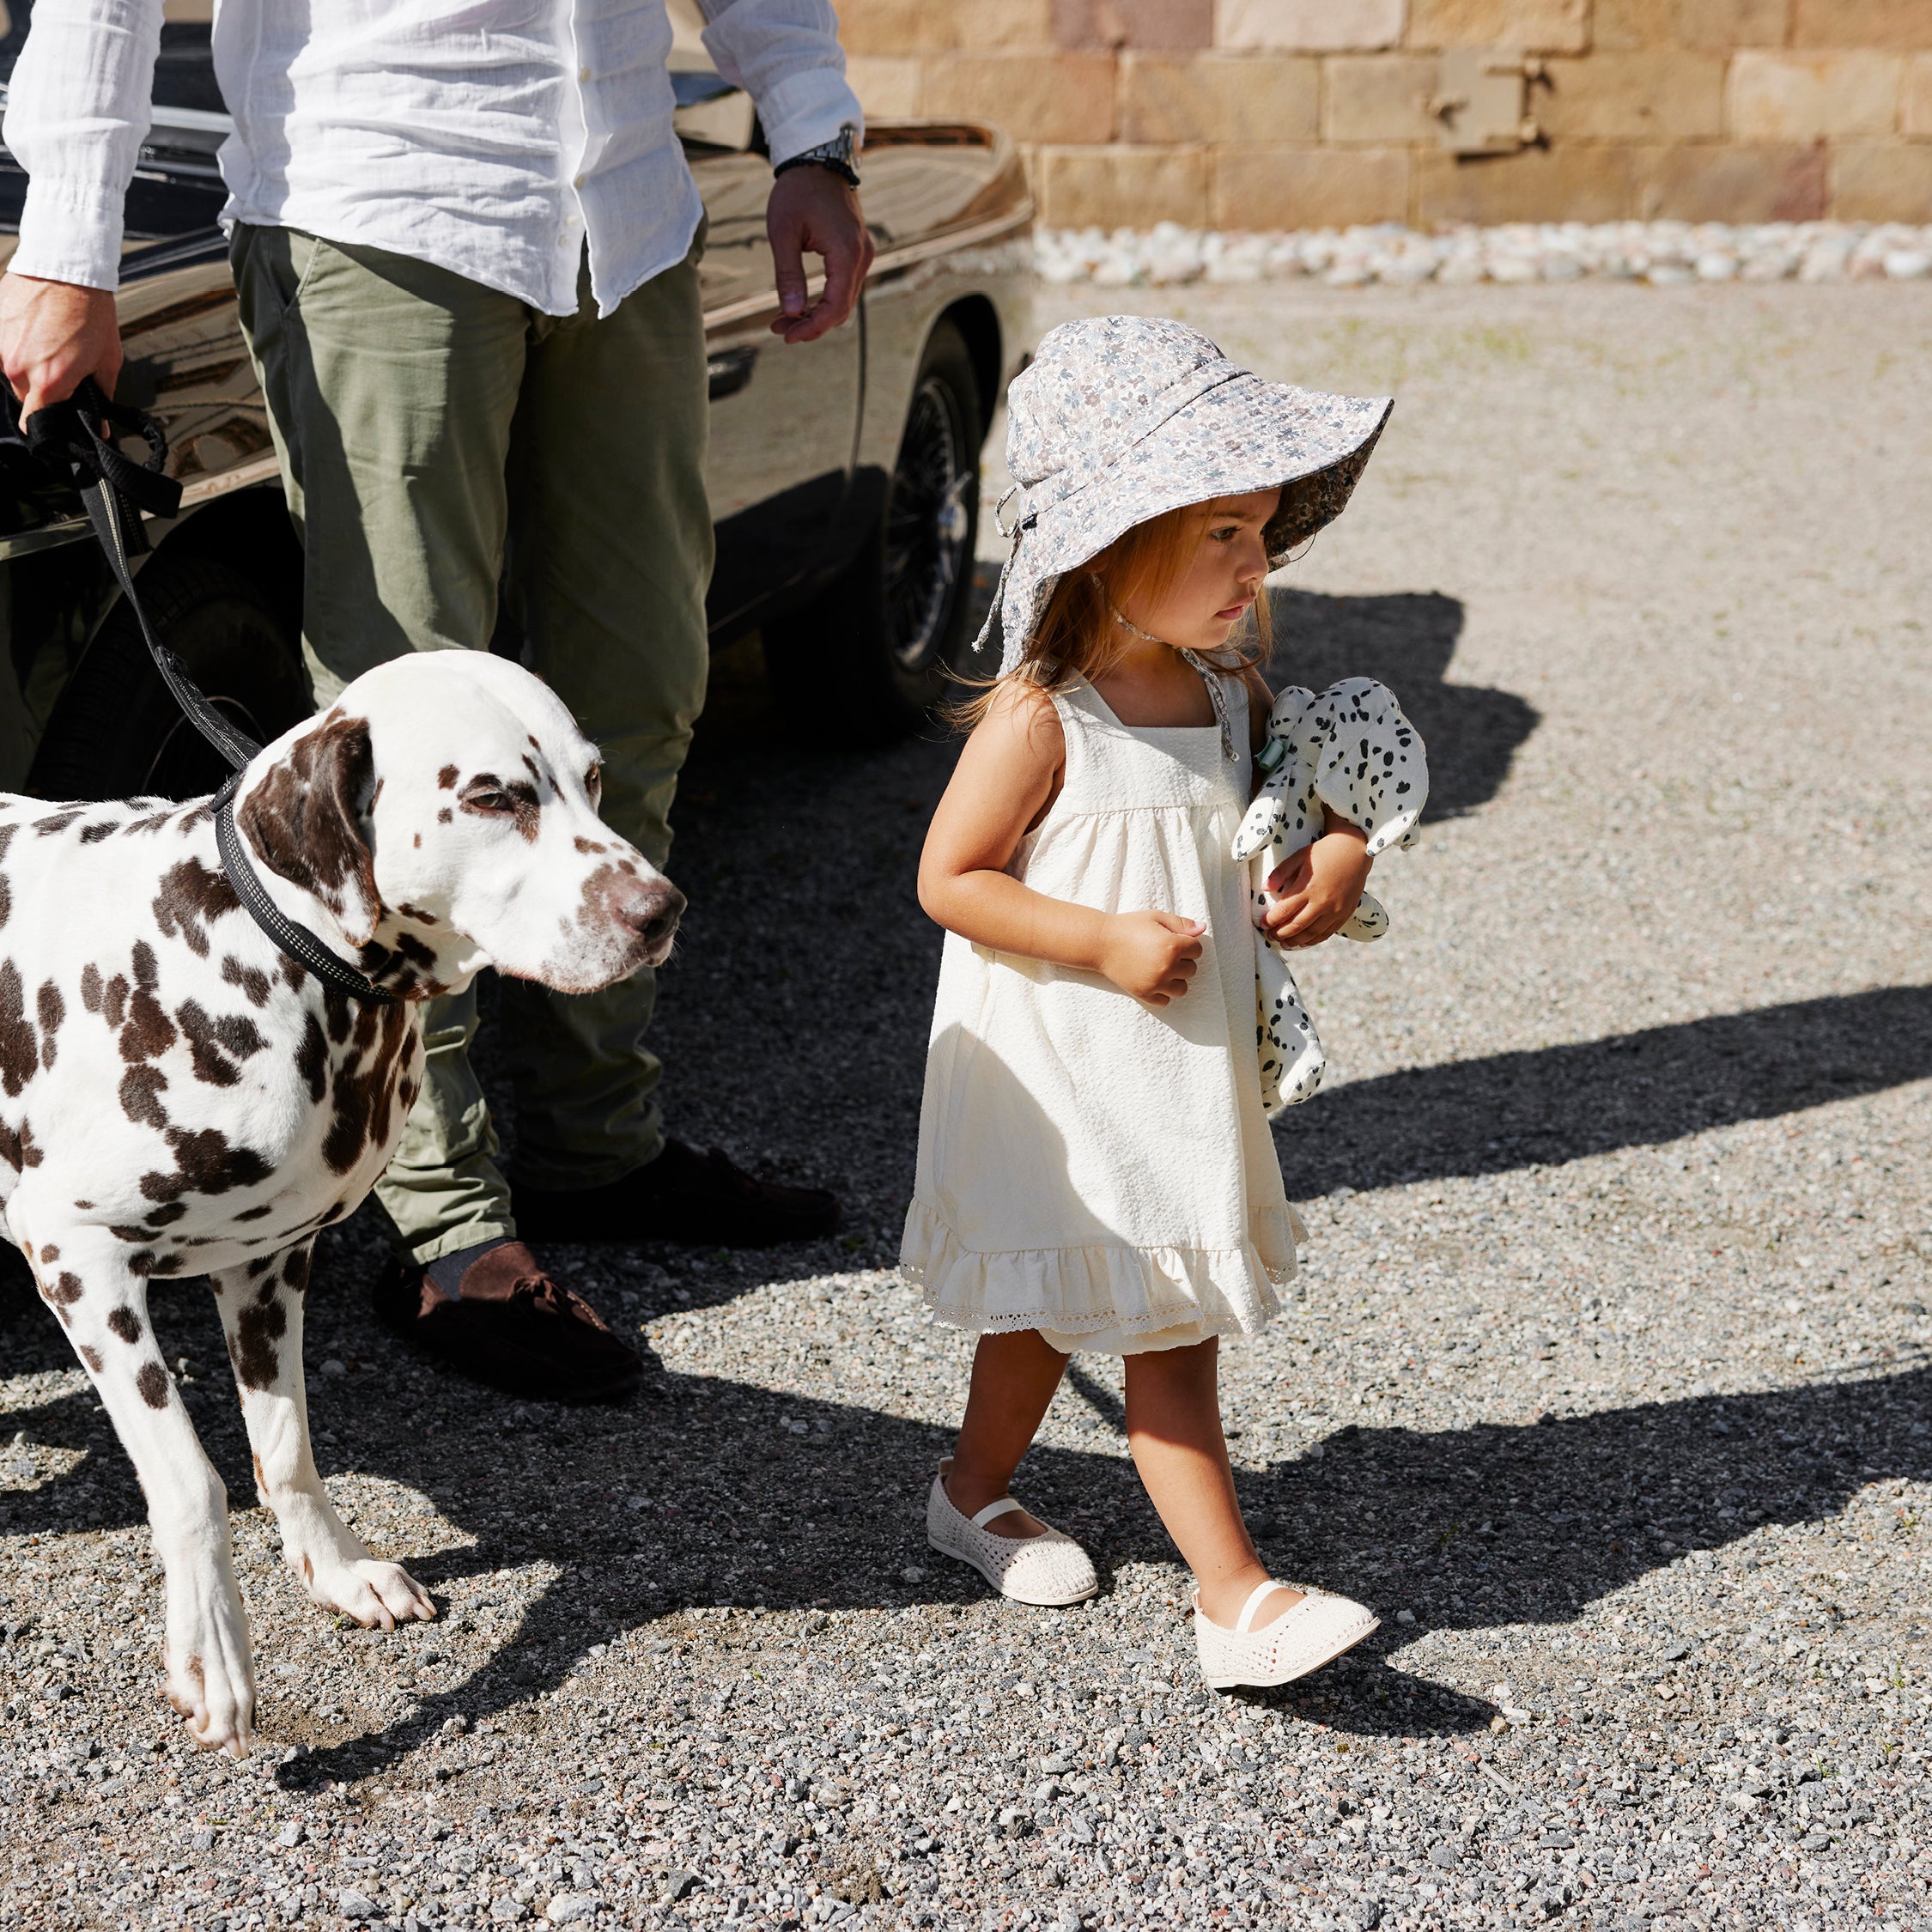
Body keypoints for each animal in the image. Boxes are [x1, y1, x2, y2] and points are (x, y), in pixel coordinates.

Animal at [0, 649, 688, 1754]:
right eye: (492, 797)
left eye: (592, 778)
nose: (661, 911)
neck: (263, 955)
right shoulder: (77, 1259)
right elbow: (190, 1477)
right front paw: (214, 1651)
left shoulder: (268, 1263)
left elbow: (285, 1446)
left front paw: (336, 1569)